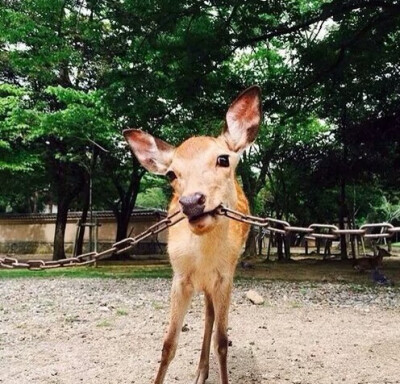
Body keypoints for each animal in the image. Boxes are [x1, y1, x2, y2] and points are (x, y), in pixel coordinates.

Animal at [125, 86, 262, 384]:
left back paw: (203, 370)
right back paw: (200, 371)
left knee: (210, 317)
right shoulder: (179, 277)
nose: (191, 202)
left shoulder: (225, 277)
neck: (203, 259)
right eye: (170, 174)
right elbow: (168, 344)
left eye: (223, 158)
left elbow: (222, 341)